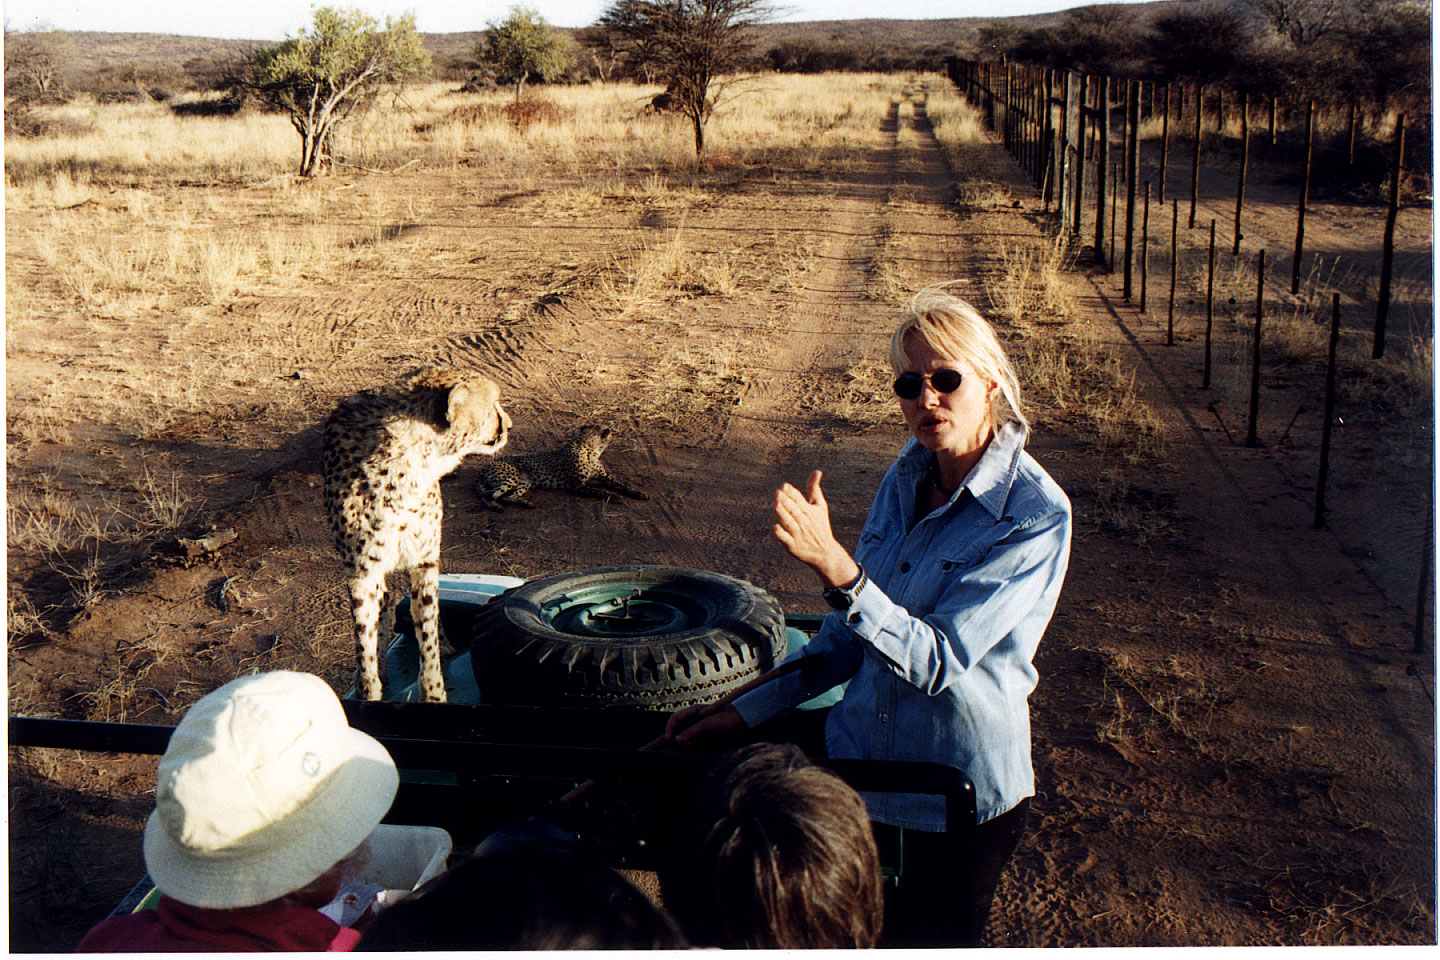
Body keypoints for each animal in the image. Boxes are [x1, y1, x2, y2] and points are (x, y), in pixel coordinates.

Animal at [325, 364, 512, 702]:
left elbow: (426, 629)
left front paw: (434, 691)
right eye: (491, 406)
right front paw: (369, 689)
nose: (509, 426)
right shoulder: (361, 572)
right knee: (384, 607)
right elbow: (364, 637)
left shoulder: (423, 561)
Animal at [475, 423, 650, 506]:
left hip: (525, 482)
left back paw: (525, 503)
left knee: (505, 496)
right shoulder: (579, 486)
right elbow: (600, 491)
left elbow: (622, 485)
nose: (614, 431)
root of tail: (485, 467)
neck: (590, 449)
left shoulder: (604, 477)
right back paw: (496, 506)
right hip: (511, 477)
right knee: (491, 494)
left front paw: (640, 493)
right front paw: (614, 497)